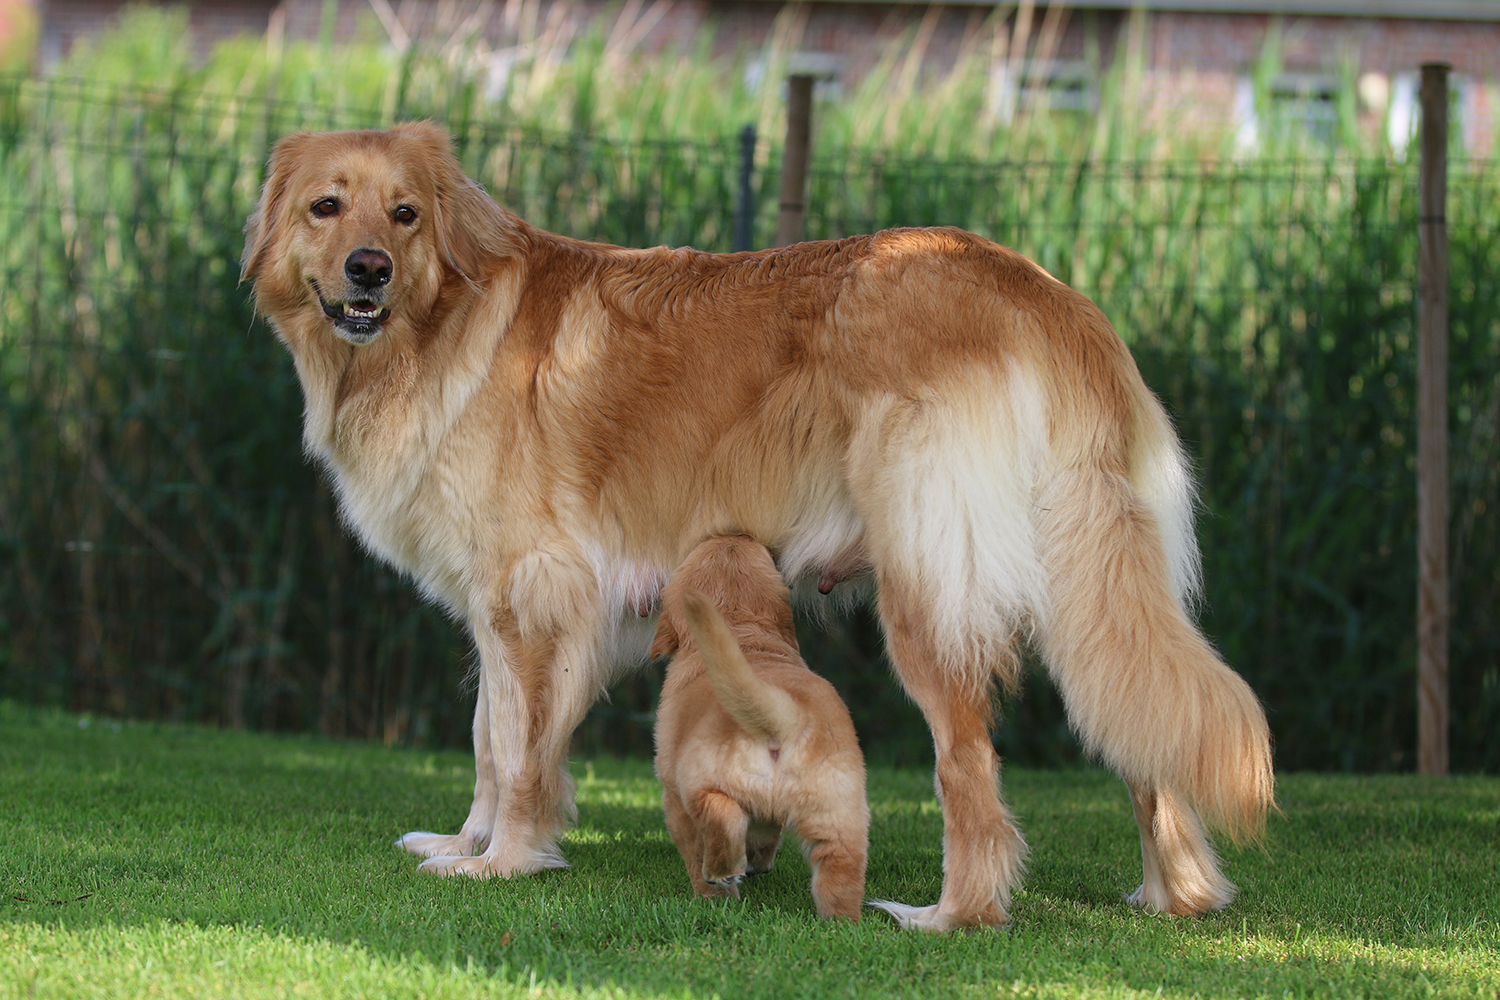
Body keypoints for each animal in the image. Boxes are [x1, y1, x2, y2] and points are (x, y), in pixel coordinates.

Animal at [651, 534, 868, 921]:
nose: (731, 534)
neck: (741, 632)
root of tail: (784, 718)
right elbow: (766, 833)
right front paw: (758, 861)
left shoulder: (672, 795)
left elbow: (696, 842)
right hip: (839, 812)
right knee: (839, 873)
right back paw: (840, 923)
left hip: (696, 781)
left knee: (719, 817)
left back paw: (719, 881)